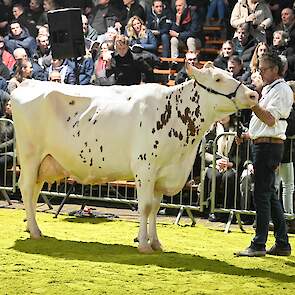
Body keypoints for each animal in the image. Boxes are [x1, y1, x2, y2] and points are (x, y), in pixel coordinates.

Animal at [10, 62, 258, 254]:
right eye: (218, 78)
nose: (253, 94)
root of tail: (28, 83)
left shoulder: (161, 174)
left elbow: (156, 208)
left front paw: (156, 242)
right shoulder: (145, 168)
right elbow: (145, 207)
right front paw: (144, 245)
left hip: (44, 161)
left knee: (34, 190)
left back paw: (31, 227)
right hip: (31, 155)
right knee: (26, 187)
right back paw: (35, 231)